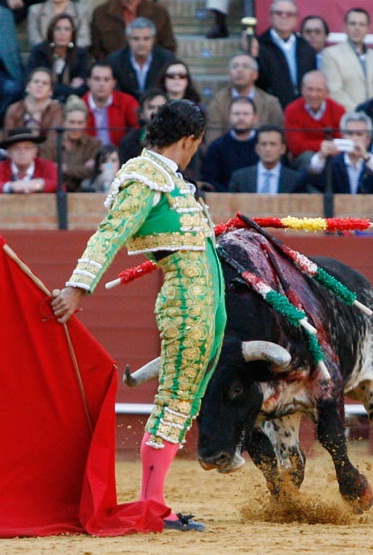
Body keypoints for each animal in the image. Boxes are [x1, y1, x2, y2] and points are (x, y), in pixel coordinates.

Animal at [198, 228, 372, 516]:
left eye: (236, 388)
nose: (211, 457)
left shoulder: (328, 385)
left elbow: (331, 437)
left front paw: (358, 493)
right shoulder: (257, 411)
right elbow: (264, 455)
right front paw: (283, 500)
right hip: (284, 416)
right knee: (294, 459)